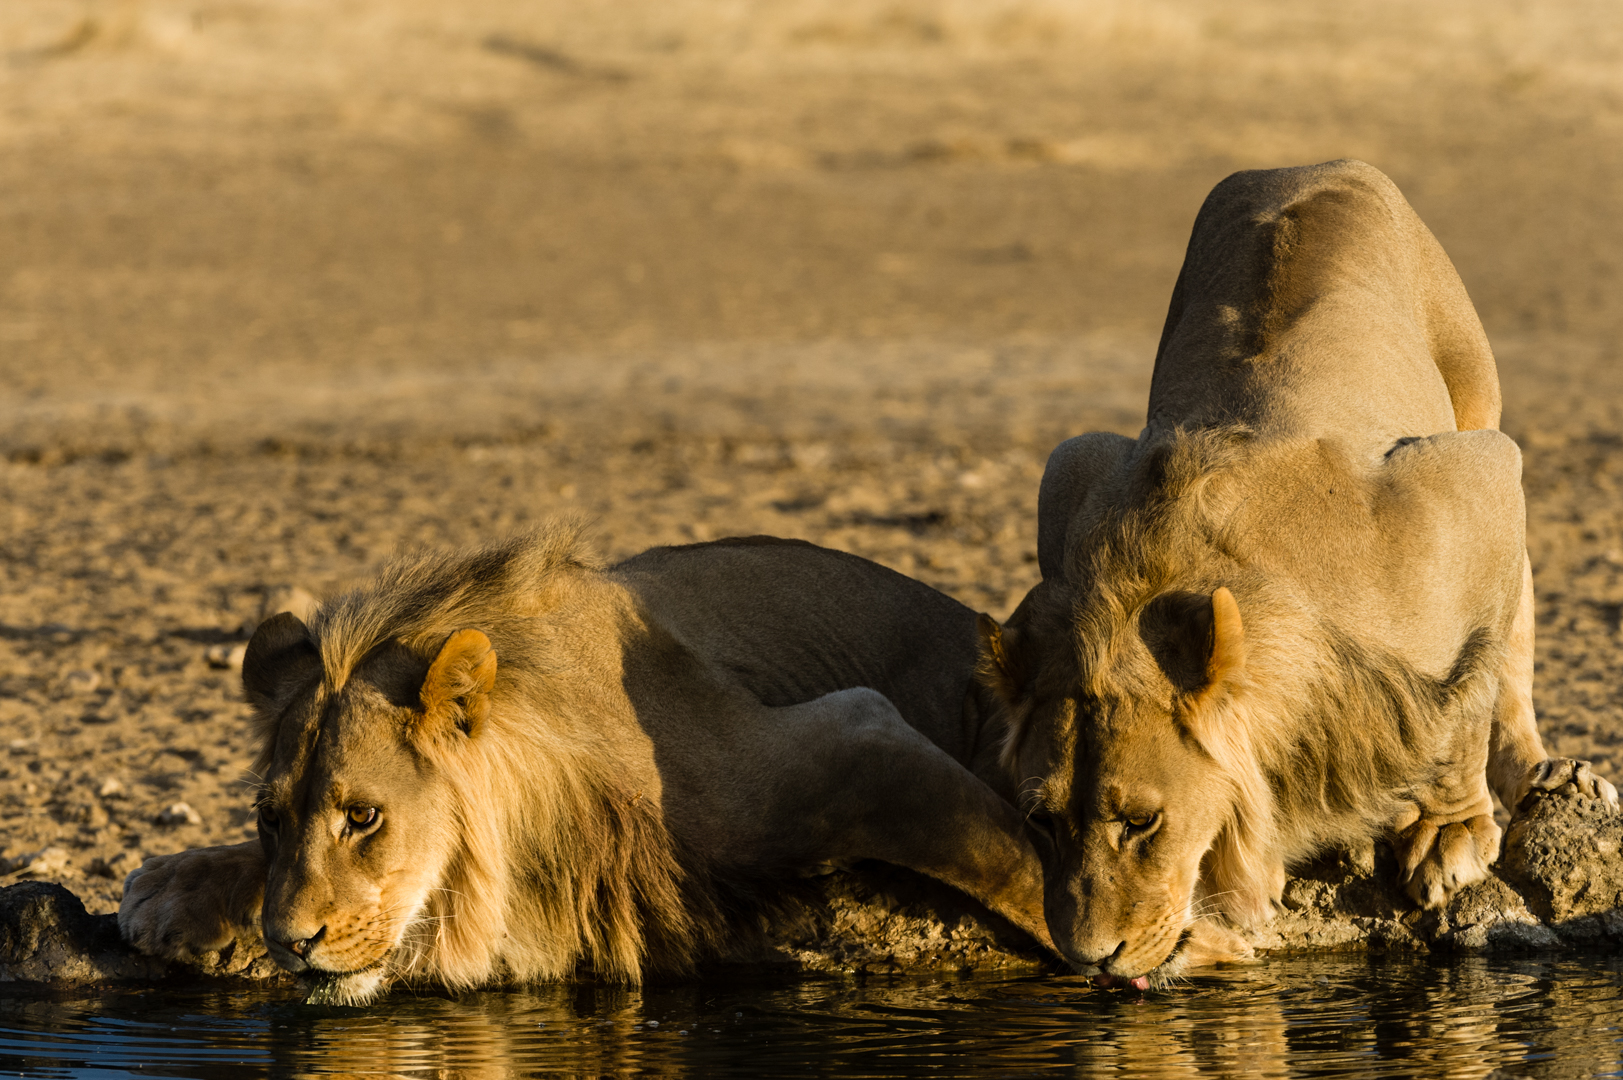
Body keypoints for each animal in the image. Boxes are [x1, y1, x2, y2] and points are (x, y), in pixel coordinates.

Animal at [120, 526, 1045, 1000]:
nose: (289, 943)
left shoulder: (837, 742)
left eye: (363, 817)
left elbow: (1005, 855)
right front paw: (173, 888)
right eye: (269, 818)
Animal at [980, 158, 1616, 987]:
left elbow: (1462, 700)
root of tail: (1312, 164)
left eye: (1141, 822)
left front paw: (1446, 833)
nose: (1089, 961)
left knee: (1513, 634)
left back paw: (1544, 775)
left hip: (1478, 412)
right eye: (1041, 819)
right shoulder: (1071, 474)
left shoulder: (1469, 481)